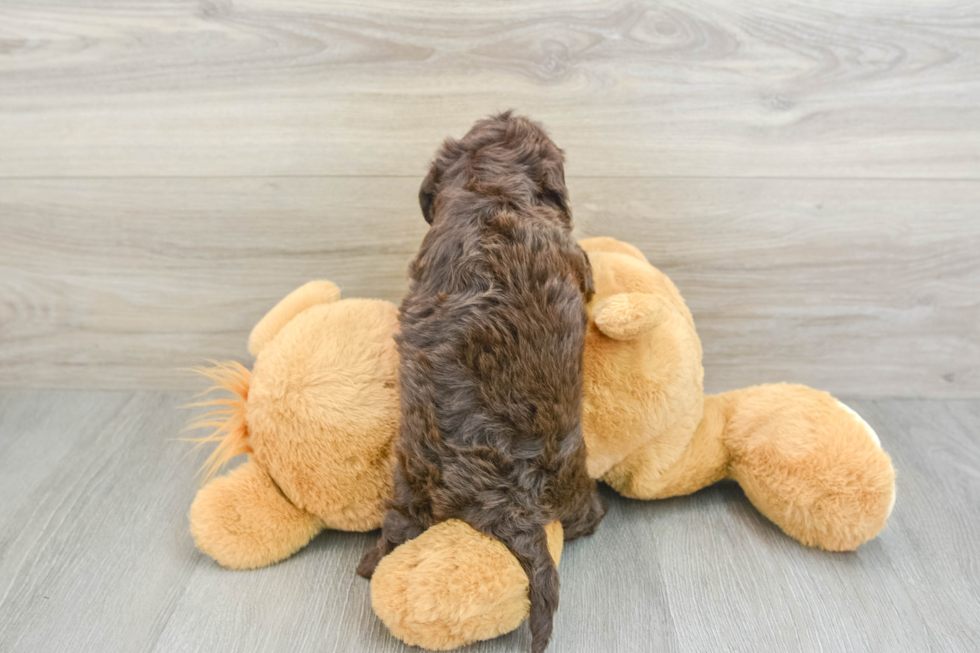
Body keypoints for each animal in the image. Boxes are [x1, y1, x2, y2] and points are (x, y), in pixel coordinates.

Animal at [360, 113, 604, 652]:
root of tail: (505, 501)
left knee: (396, 528)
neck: (491, 189)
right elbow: (588, 269)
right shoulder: (571, 253)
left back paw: (369, 563)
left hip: (411, 482)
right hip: (570, 479)